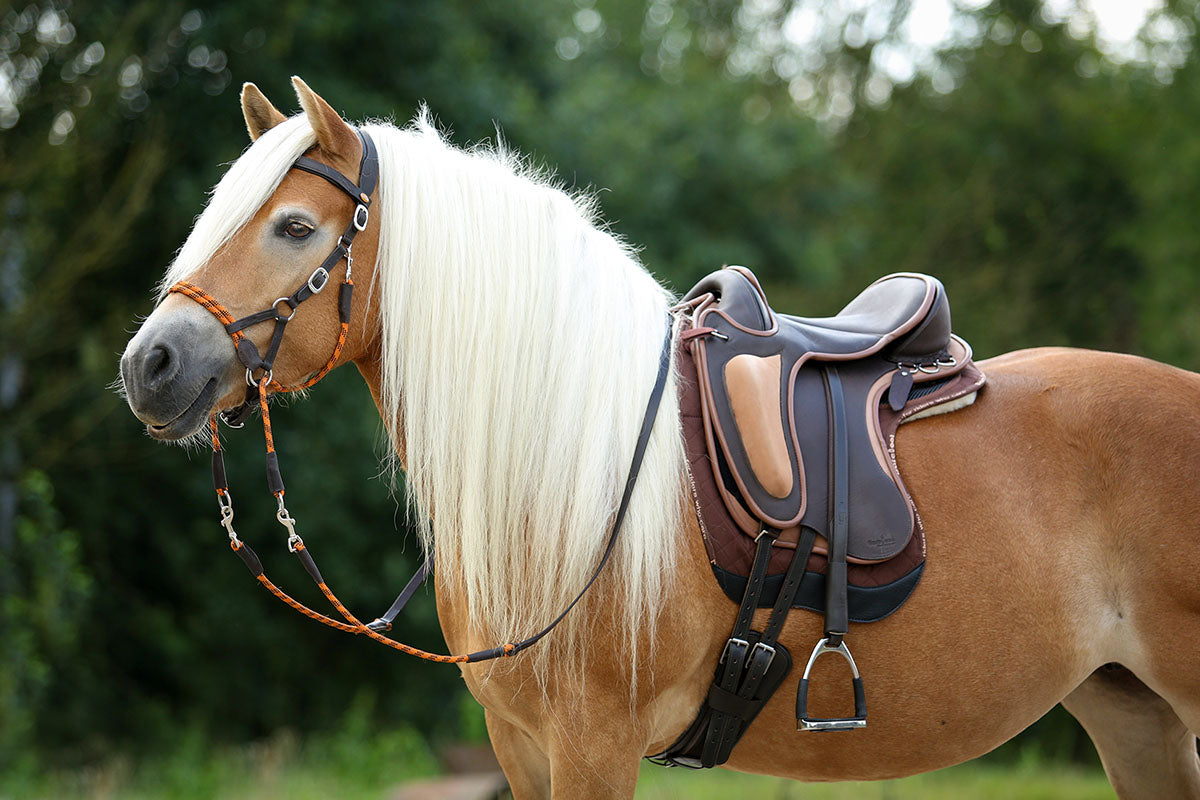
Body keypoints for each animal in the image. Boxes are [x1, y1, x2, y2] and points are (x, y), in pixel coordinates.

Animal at [119, 76, 1200, 800]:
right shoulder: (521, 746)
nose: (150, 365)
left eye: (298, 228)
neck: (560, 470)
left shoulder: (592, 744)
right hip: (1134, 714)